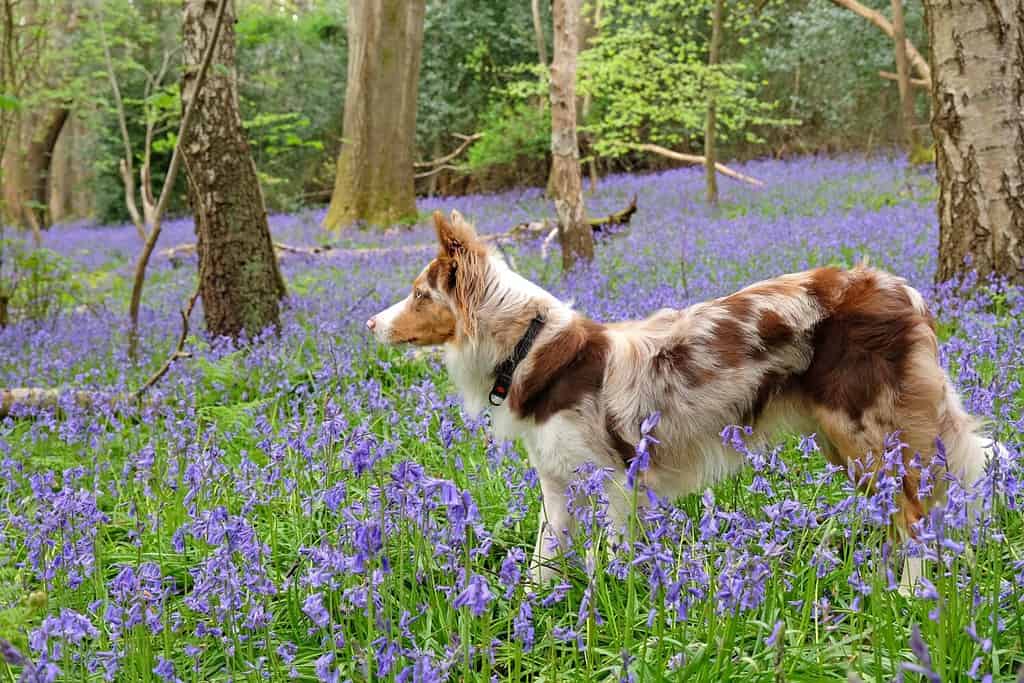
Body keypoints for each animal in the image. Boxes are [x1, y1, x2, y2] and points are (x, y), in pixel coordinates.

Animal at [368, 210, 991, 589]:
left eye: (420, 294)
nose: (371, 323)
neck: (527, 347)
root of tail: (904, 292)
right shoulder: (557, 484)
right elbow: (543, 559)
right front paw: (524, 613)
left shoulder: (615, 479)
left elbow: (613, 552)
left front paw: (614, 604)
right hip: (844, 444)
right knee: (901, 511)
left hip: (864, 432)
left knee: (915, 515)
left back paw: (907, 594)